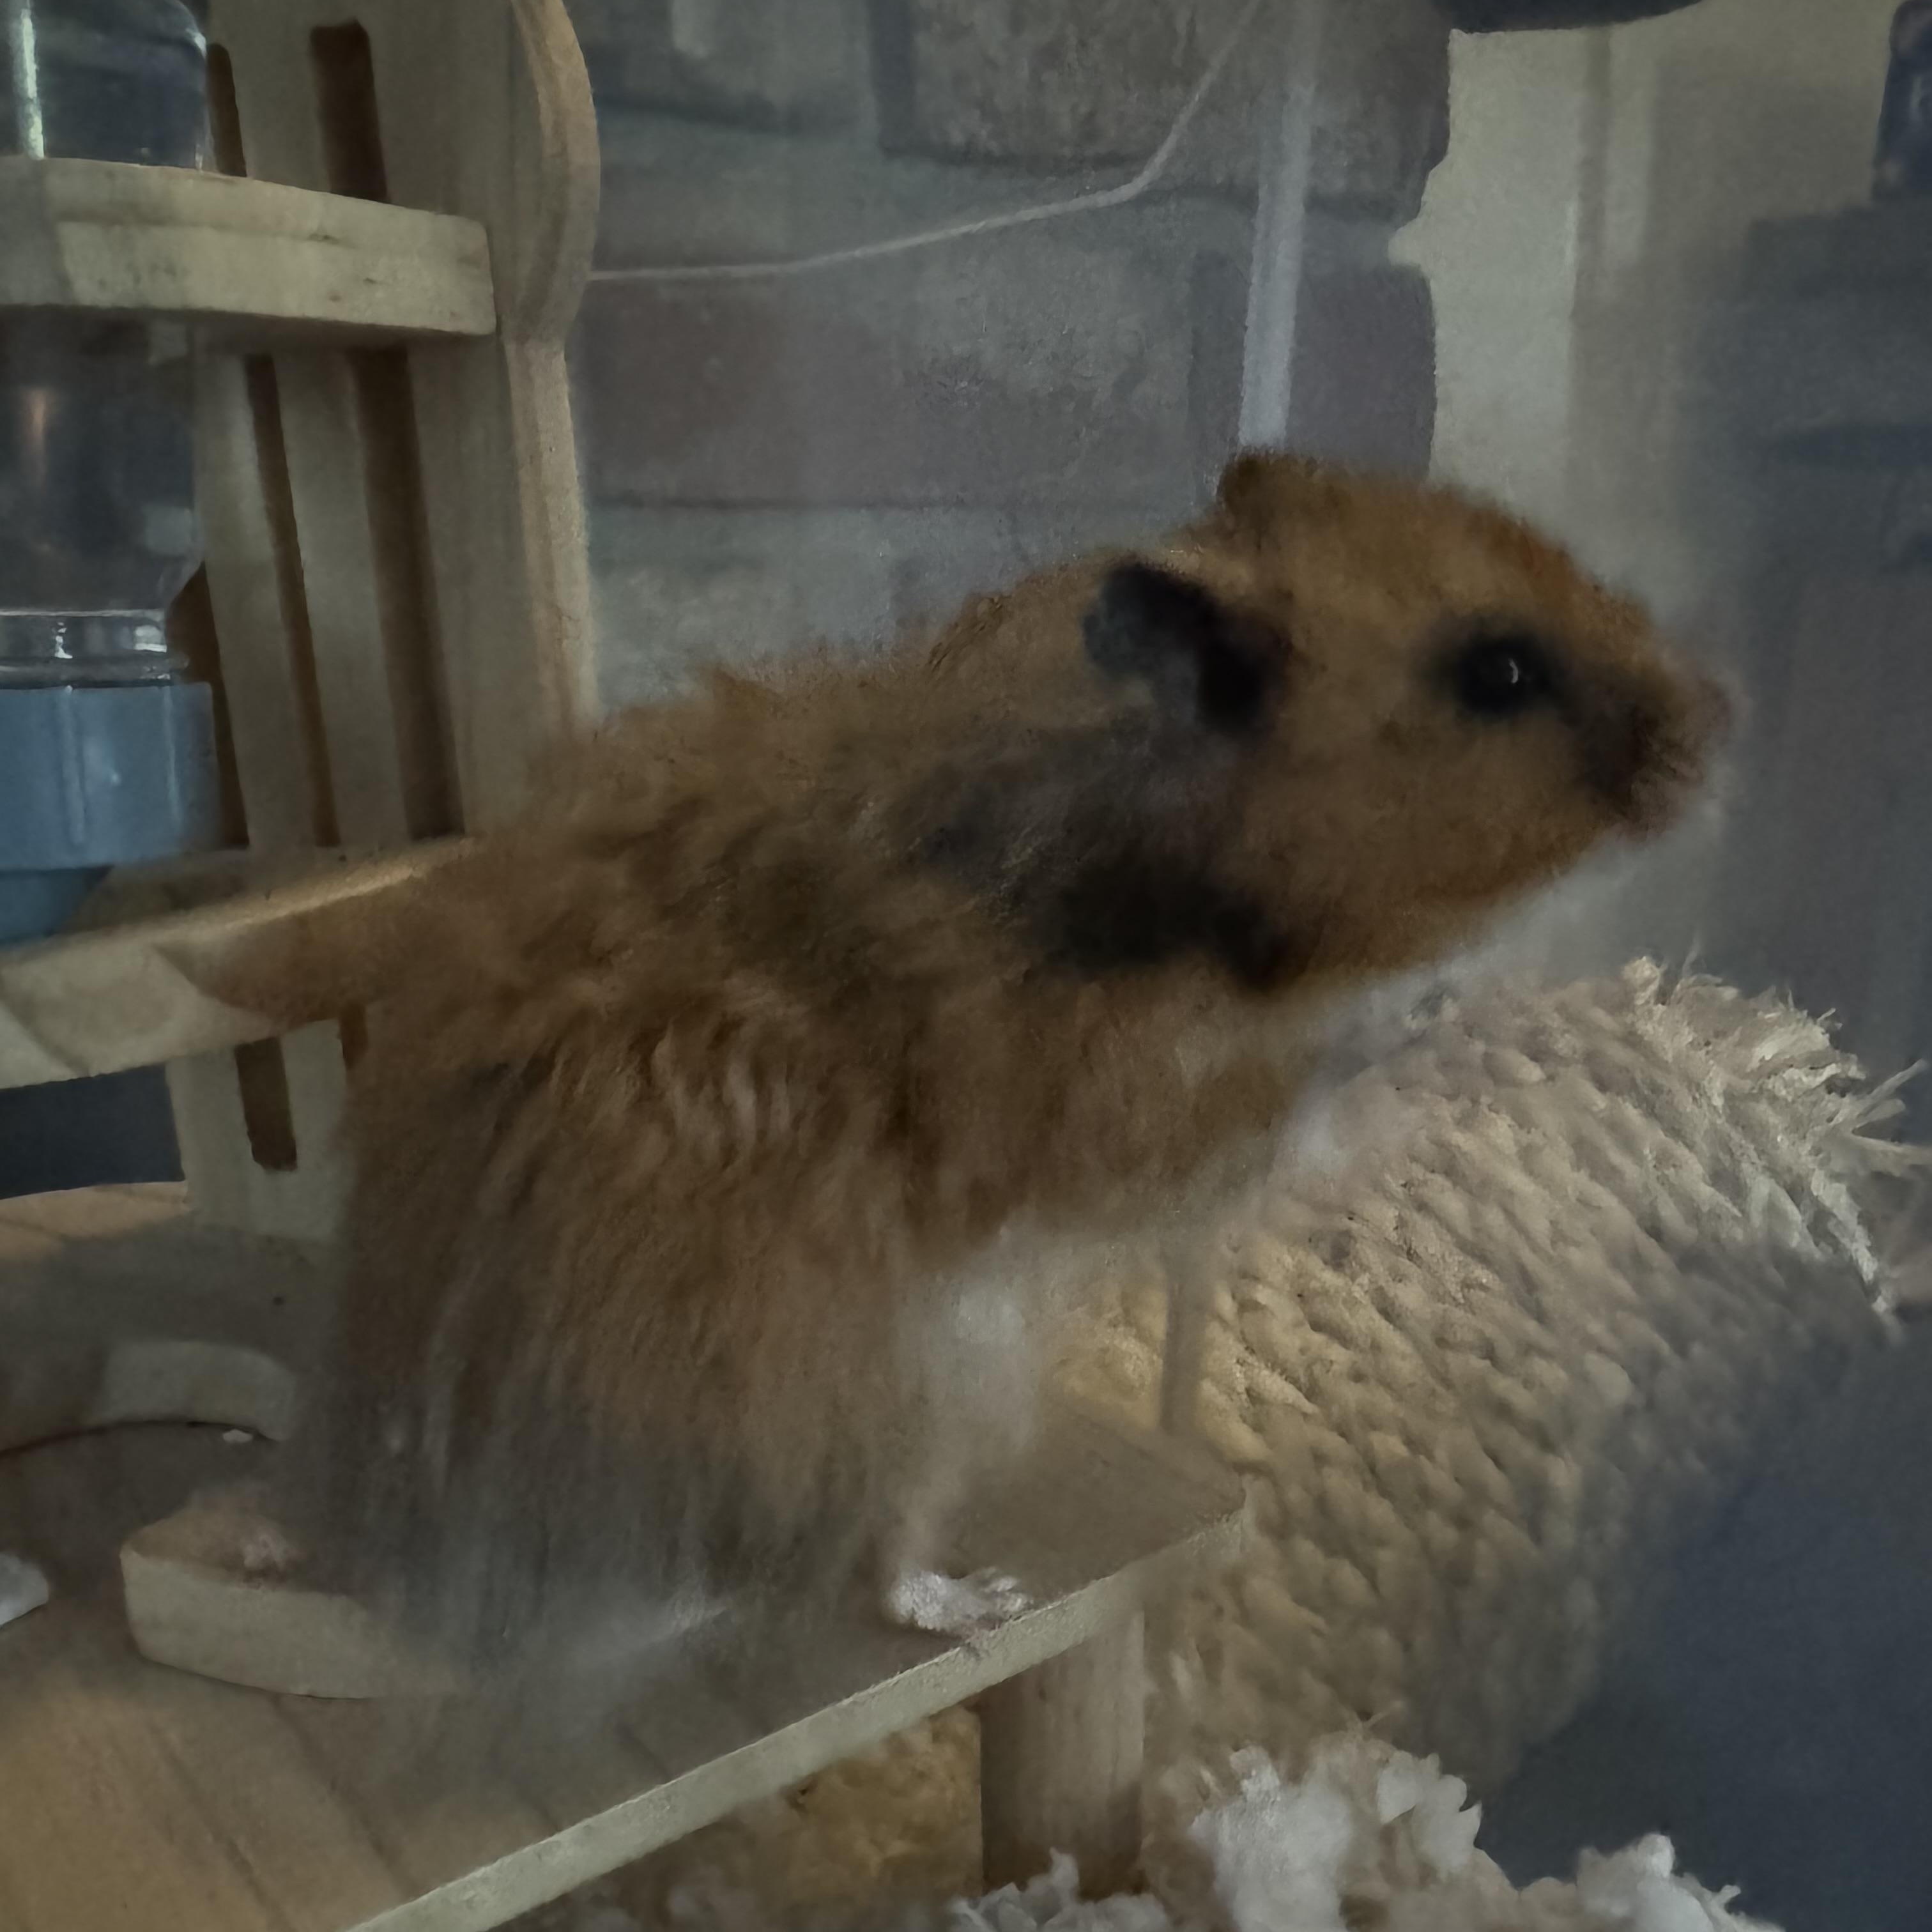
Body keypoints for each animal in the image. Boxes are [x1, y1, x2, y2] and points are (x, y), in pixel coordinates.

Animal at [243, 451, 1728, 1675]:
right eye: (1499, 674)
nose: (1715, 724)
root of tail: (378, 1527)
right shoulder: (1122, 1114)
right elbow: (1299, 1099)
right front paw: (1421, 1023)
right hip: (895, 1396)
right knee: (857, 1565)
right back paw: (974, 1603)